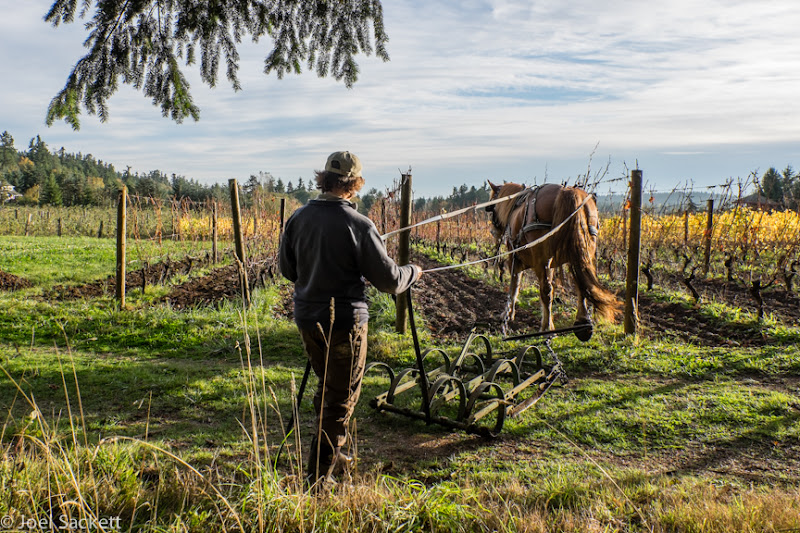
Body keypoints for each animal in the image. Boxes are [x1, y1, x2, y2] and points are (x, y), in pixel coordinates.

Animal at [482, 183, 620, 332]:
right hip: (584, 254)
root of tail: (570, 192)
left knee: (546, 289)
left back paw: (547, 327)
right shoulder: (550, 263)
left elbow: (514, 285)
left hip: (541, 258)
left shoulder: (514, 257)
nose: (492, 231)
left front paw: (507, 314)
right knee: (582, 286)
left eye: (491, 206)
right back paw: (582, 321)